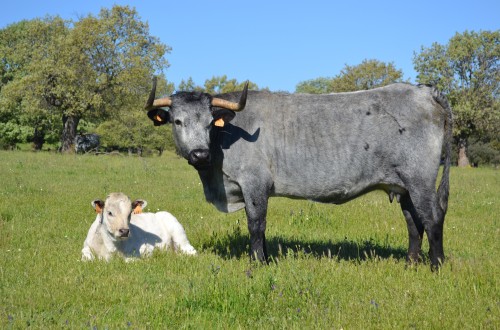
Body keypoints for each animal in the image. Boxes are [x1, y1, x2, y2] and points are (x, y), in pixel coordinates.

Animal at [145, 78, 454, 270]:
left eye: (210, 123)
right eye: (177, 121)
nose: (199, 154)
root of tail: (424, 90)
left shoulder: (254, 184)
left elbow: (256, 225)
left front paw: (258, 263)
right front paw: (266, 258)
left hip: (420, 180)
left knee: (432, 217)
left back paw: (436, 265)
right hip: (404, 186)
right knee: (414, 222)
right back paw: (411, 263)